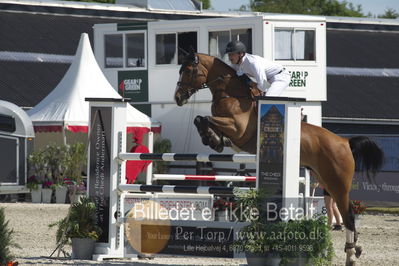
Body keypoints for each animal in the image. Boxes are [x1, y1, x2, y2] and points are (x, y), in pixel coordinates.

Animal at [174, 51, 384, 264]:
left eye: (189, 71)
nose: (178, 98)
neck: (231, 94)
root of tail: (345, 141)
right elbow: (200, 119)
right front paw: (215, 139)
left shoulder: (237, 128)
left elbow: (205, 119)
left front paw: (214, 139)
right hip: (325, 180)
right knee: (349, 212)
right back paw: (355, 248)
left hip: (337, 184)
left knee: (348, 215)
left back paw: (350, 256)